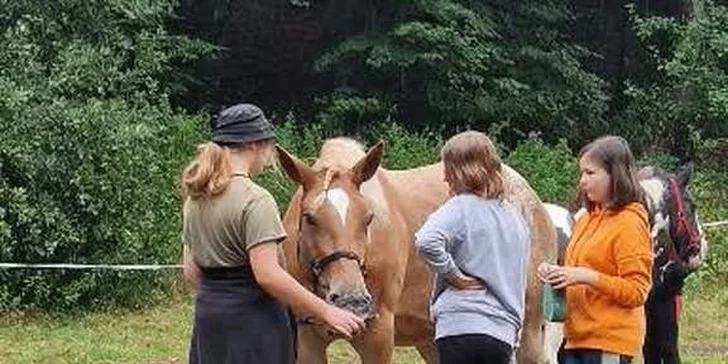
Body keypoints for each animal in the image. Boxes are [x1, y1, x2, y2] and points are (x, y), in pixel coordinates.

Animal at [276, 137, 556, 364]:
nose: (350, 300)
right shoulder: (309, 338)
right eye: (309, 217)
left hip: (529, 332)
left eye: (368, 218)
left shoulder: (378, 335)